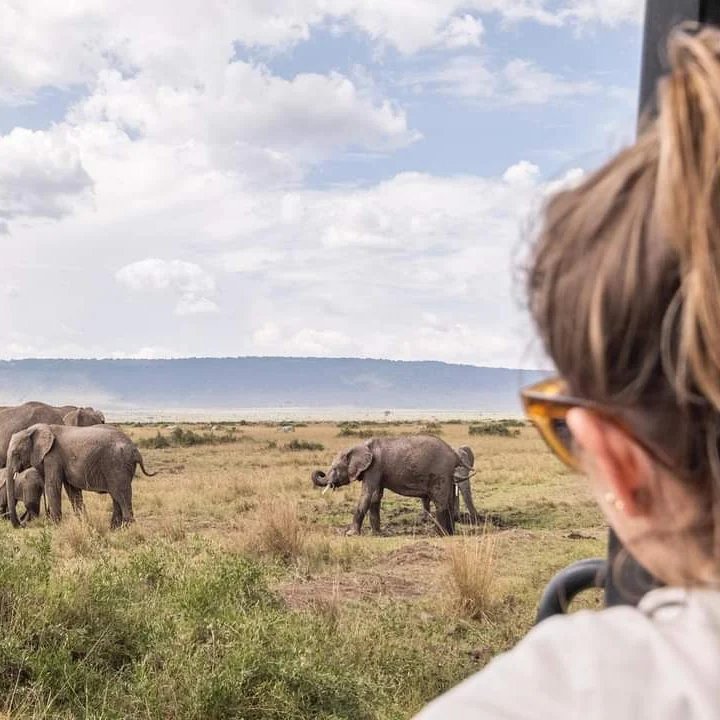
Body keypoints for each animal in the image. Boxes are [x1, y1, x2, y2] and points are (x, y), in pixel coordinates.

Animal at [5, 423, 157, 529]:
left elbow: (53, 486)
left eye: (16, 453)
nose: (22, 525)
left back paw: (128, 529)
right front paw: (83, 523)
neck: (33, 429)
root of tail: (136, 450)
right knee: (116, 496)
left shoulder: (52, 457)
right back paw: (115, 528)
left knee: (121, 494)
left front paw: (55, 527)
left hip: (118, 464)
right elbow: (72, 490)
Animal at [311, 435, 476, 536]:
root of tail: (454, 455)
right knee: (448, 500)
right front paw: (377, 534)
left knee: (440, 501)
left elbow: (366, 494)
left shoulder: (374, 467)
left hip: (440, 472)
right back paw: (450, 534)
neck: (359, 446)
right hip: (447, 474)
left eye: (334, 468)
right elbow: (375, 496)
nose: (321, 473)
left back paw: (440, 534)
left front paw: (351, 534)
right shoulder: (377, 470)